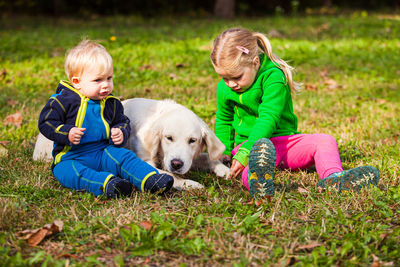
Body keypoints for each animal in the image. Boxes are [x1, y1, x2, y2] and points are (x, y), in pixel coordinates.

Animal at [32, 98, 230, 191]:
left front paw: (223, 168)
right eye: (168, 138)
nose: (176, 164)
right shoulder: (148, 160)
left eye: (192, 141)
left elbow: (207, 158)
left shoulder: (188, 158)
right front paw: (190, 183)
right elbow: (170, 175)